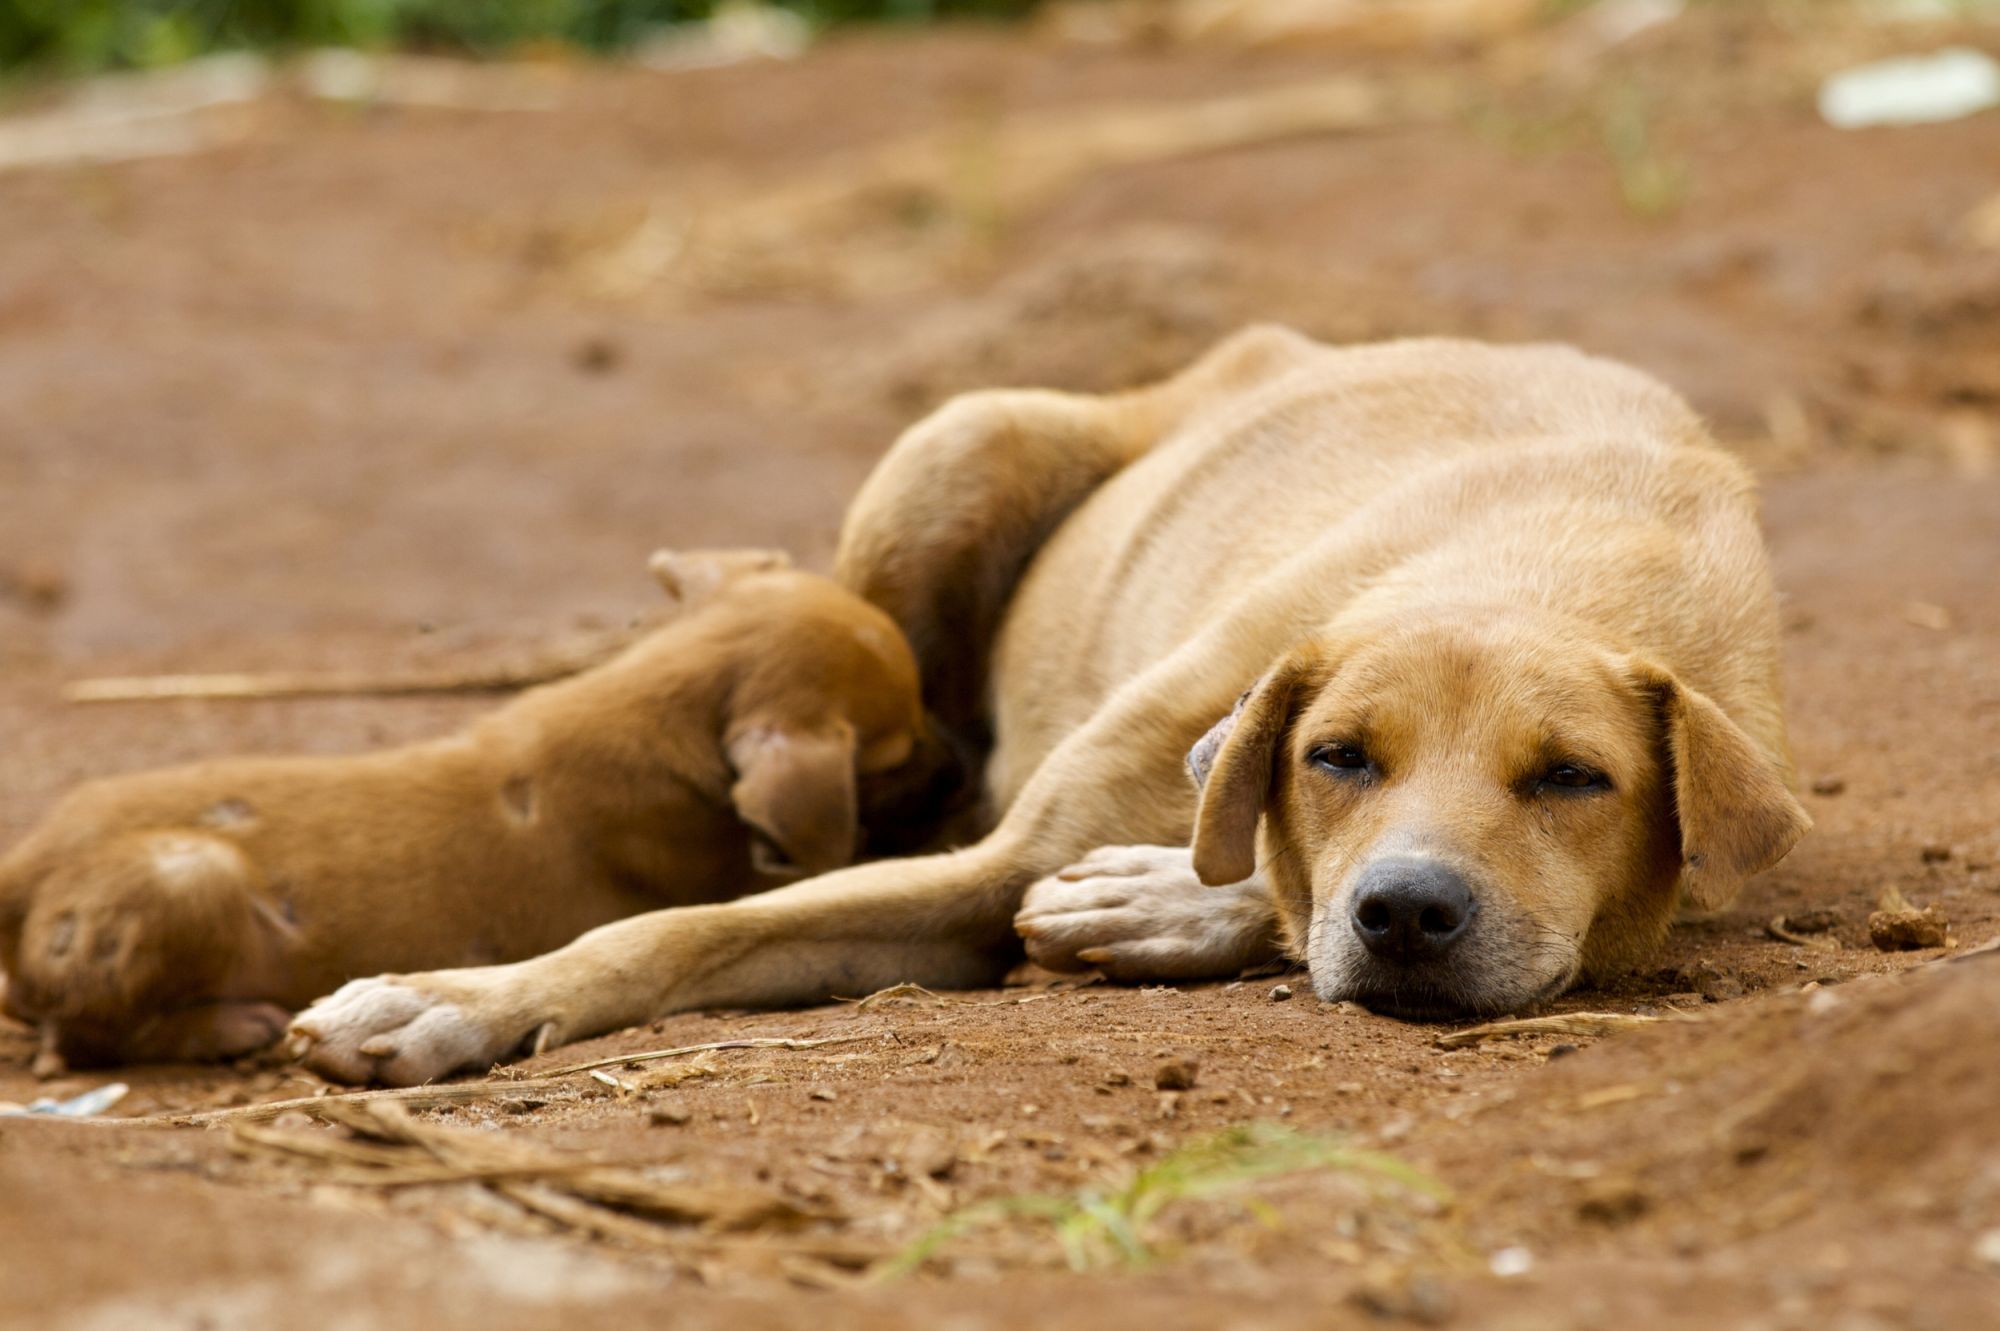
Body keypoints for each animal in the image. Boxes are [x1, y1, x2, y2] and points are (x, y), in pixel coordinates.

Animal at [0, 547, 940, 1071]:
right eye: (893, 754)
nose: (957, 759)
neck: (655, 696)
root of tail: (24, 866)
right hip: (192, 876)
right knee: (79, 1038)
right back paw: (231, 1027)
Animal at [292, 329, 1816, 1079]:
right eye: (1335, 755)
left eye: (1572, 778)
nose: (1407, 914)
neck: (1532, 573)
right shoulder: (992, 859)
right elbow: (671, 929)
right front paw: (452, 996)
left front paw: (1173, 901)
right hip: (950, 459)